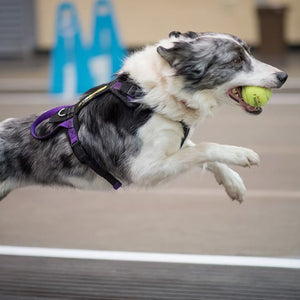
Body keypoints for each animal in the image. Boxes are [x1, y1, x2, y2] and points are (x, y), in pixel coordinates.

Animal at [0, 31, 288, 202]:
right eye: (236, 60)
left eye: (248, 52)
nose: (284, 76)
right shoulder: (143, 169)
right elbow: (205, 147)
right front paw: (241, 155)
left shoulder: (171, 144)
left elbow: (197, 148)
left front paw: (232, 183)